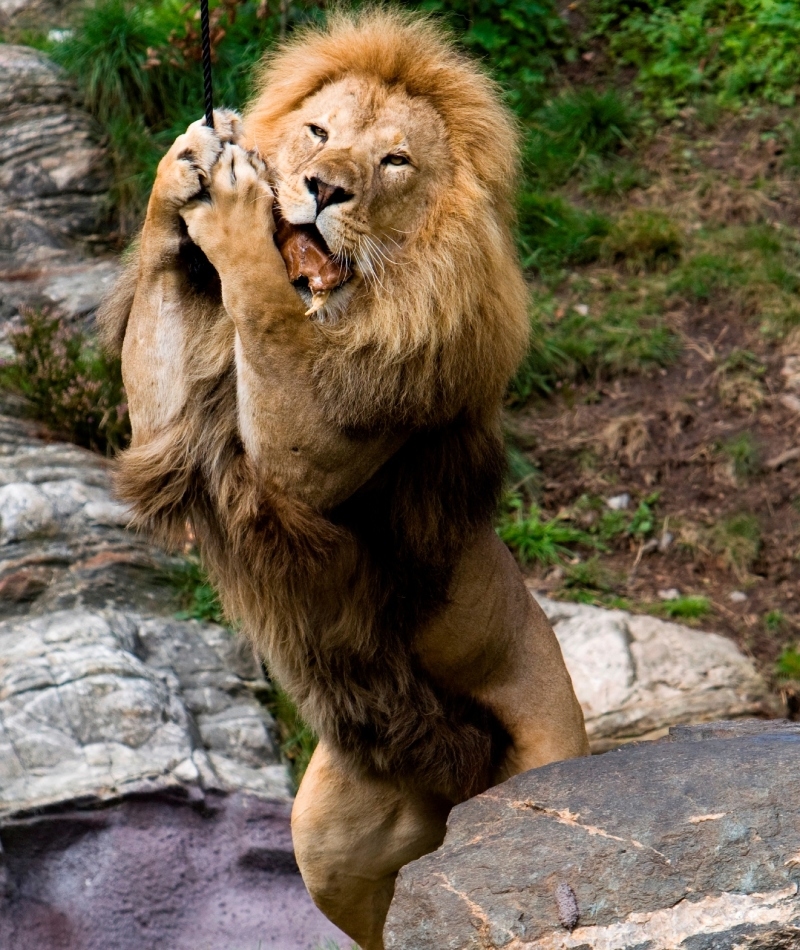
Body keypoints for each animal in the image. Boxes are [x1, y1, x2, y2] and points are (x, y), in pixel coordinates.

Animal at [98, 9, 588, 950]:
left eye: (395, 160)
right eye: (320, 133)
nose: (322, 190)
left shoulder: (319, 454)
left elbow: (262, 304)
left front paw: (236, 208)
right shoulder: (171, 423)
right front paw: (186, 163)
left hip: (546, 788)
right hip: (326, 831)